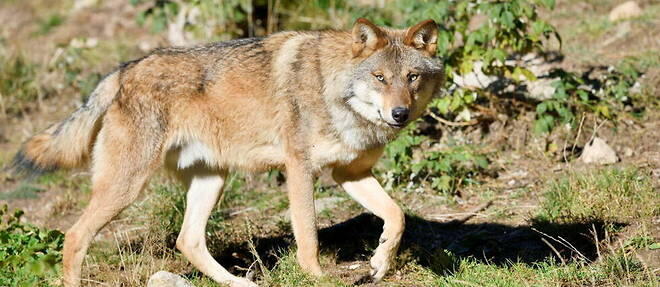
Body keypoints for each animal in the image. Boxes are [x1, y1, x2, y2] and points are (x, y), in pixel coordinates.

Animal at [11, 18, 444, 287]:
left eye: (412, 78)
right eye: (379, 78)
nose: (400, 114)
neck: (333, 90)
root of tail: (124, 69)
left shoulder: (348, 174)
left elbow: (397, 216)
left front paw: (379, 263)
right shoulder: (300, 170)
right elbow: (308, 235)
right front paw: (316, 278)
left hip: (212, 180)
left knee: (187, 241)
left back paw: (237, 282)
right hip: (127, 188)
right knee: (74, 235)